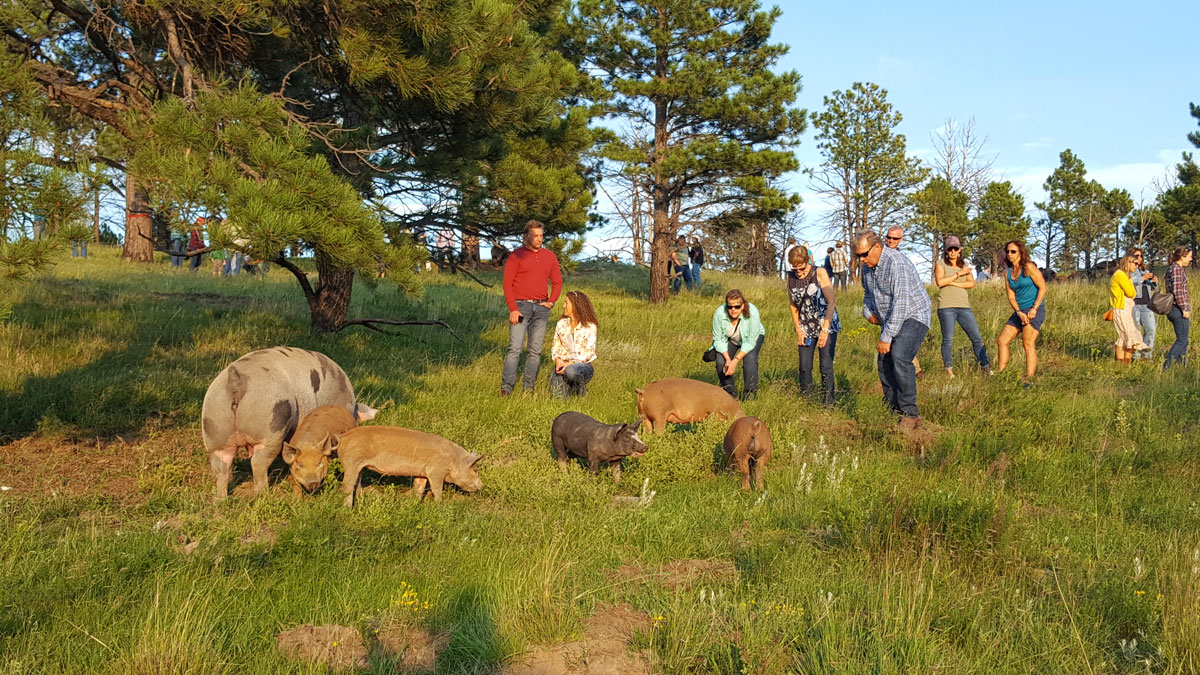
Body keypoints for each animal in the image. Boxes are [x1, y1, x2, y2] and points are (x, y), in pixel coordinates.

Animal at [201, 346, 378, 500]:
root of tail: (236, 380)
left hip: (215, 429)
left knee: (221, 467)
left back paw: (220, 500)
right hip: (271, 426)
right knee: (258, 463)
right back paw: (263, 495)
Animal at [336, 426, 483, 505]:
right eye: (475, 470)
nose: (482, 485)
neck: (454, 460)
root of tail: (343, 437)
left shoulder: (422, 473)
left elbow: (419, 487)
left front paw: (415, 503)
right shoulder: (436, 471)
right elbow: (436, 489)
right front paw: (439, 504)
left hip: (359, 467)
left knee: (357, 485)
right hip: (351, 461)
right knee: (346, 486)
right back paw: (347, 508)